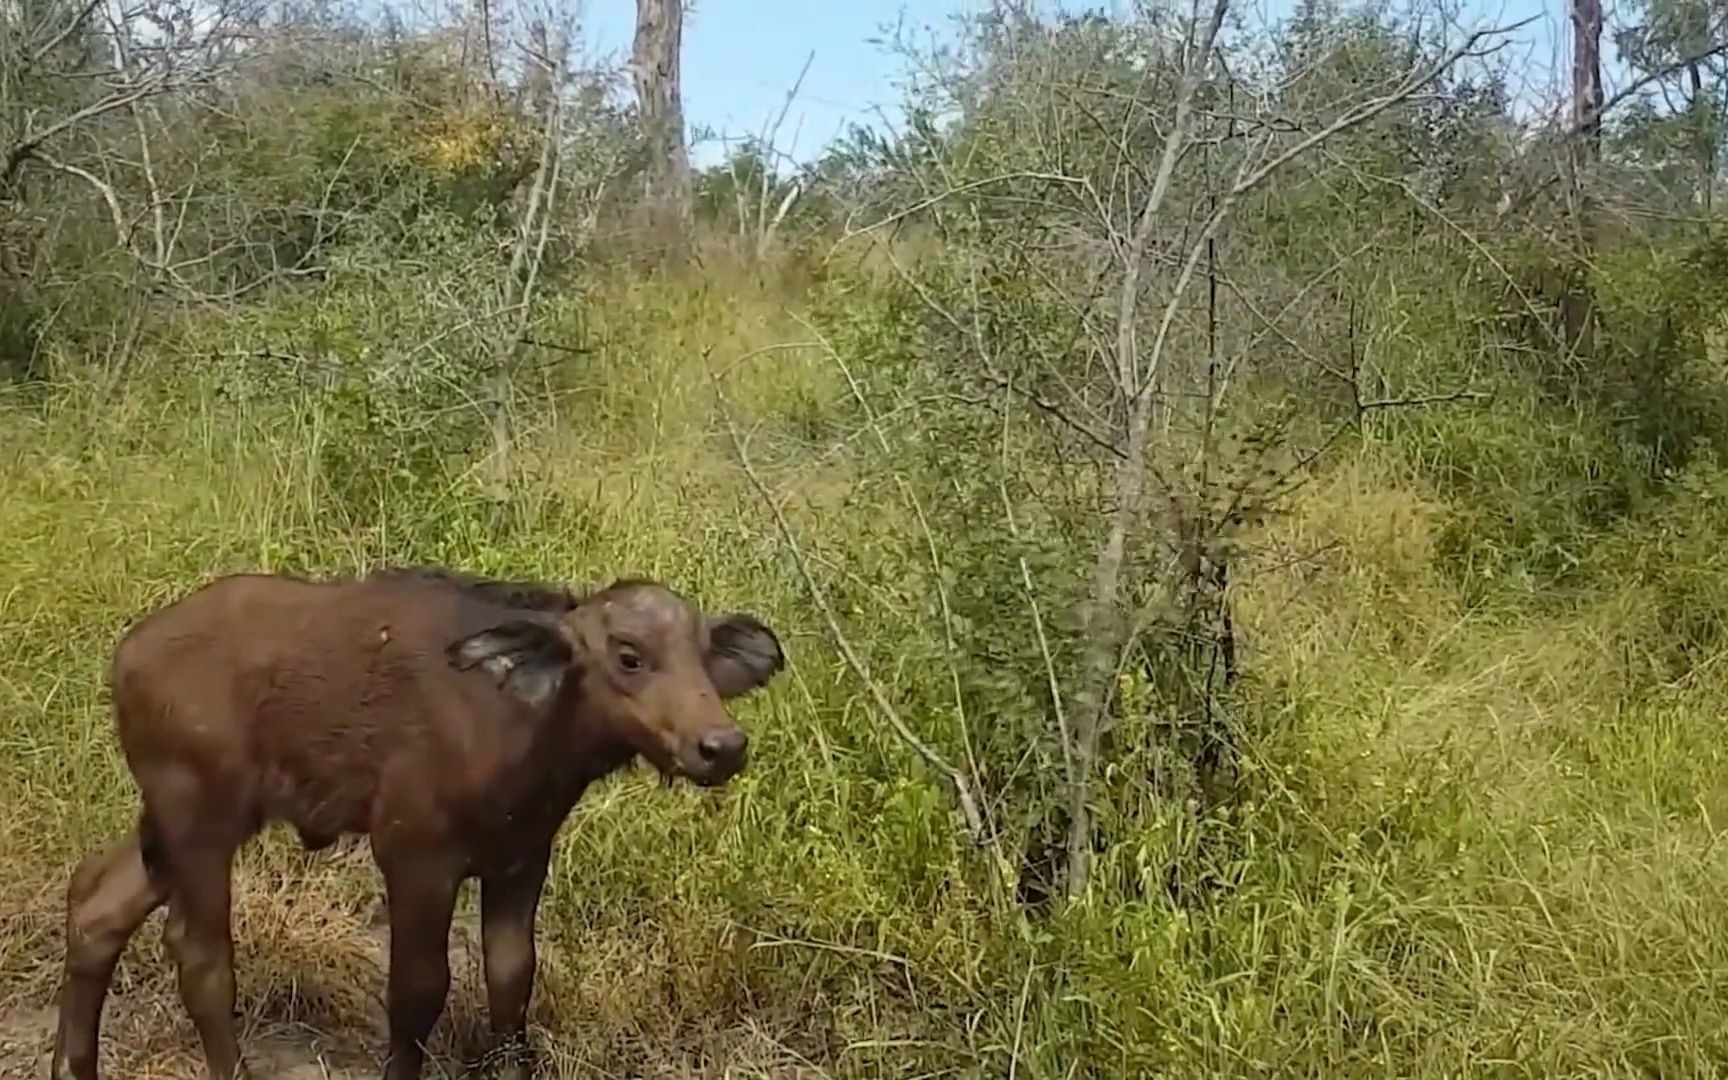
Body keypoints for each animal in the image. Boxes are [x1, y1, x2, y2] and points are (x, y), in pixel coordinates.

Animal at [45, 570, 791, 1071]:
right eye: (630, 655)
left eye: (704, 656)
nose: (722, 746)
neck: (516, 717)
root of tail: (128, 656)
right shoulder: (415, 858)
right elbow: (417, 992)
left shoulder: (521, 859)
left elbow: (512, 978)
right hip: (199, 820)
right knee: (200, 956)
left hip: (172, 825)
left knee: (96, 902)